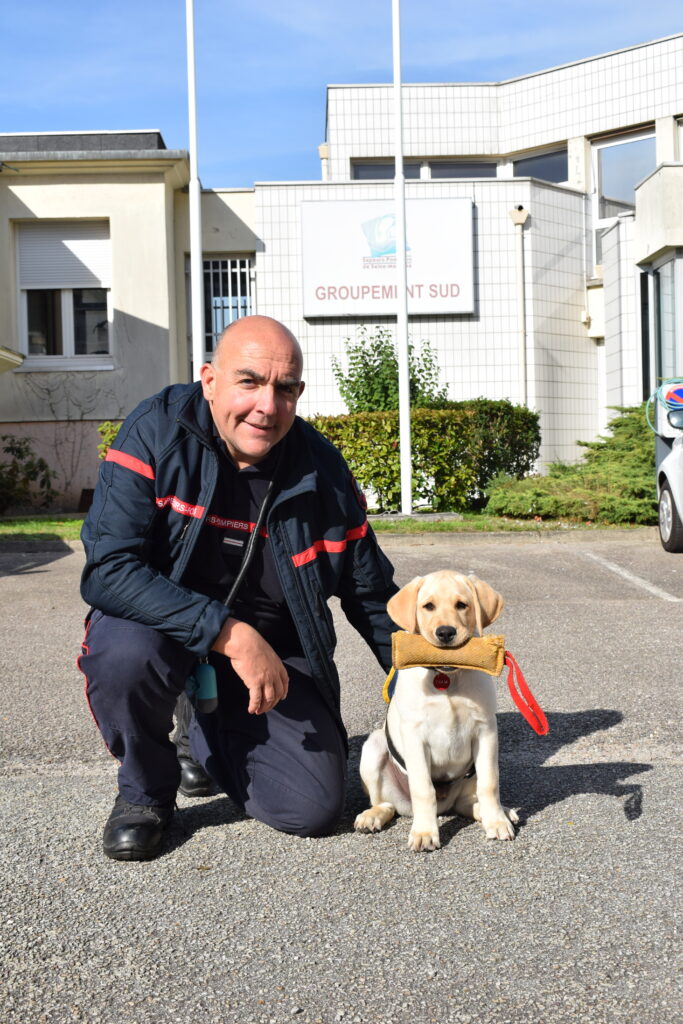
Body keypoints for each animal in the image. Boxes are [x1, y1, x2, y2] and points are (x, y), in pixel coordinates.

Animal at [352, 573, 518, 851]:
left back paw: (499, 812)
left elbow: (490, 784)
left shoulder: (486, 731)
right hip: (373, 748)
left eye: (462, 605)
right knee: (387, 804)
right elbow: (423, 789)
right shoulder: (415, 736)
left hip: (469, 776)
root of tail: (445, 805)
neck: (446, 677)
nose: (445, 632)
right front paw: (424, 832)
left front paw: (496, 822)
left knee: (468, 802)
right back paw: (372, 816)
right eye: (428, 606)